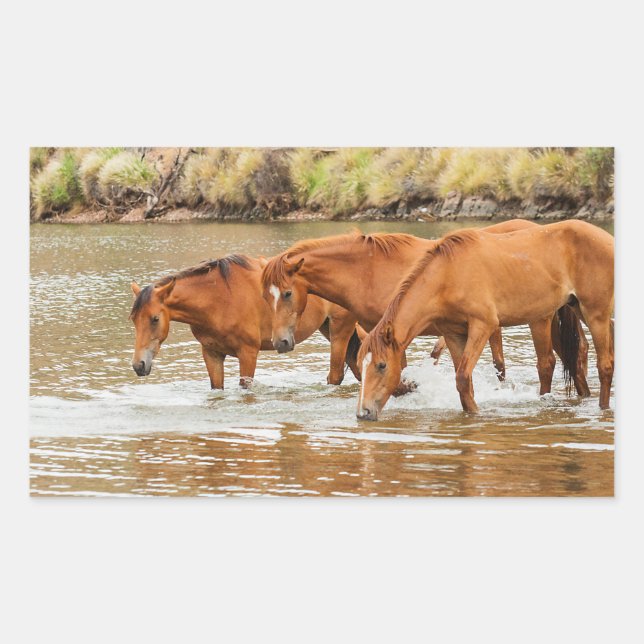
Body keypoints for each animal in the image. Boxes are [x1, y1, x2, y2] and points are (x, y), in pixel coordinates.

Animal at [129, 254, 362, 389]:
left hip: (340, 330)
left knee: (336, 376)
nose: (139, 365)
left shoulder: (248, 353)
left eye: (155, 318)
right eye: (133, 320)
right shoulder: (212, 354)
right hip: (328, 329)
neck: (218, 299)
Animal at [260, 219, 590, 395]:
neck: (368, 270)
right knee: (576, 355)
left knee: (548, 363)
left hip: (541, 318)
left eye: (287, 293)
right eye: (266, 296)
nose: (281, 342)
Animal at [356, 220, 614, 419]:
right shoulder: (453, 333)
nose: (363, 413)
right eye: (360, 365)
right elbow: (465, 383)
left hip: (595, 313)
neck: (447, 275)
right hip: (577, 309)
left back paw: (603, 408)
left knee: (605, 365)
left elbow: (462, 377)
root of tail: (607, 238)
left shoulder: (483, 325)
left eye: (381, 365)